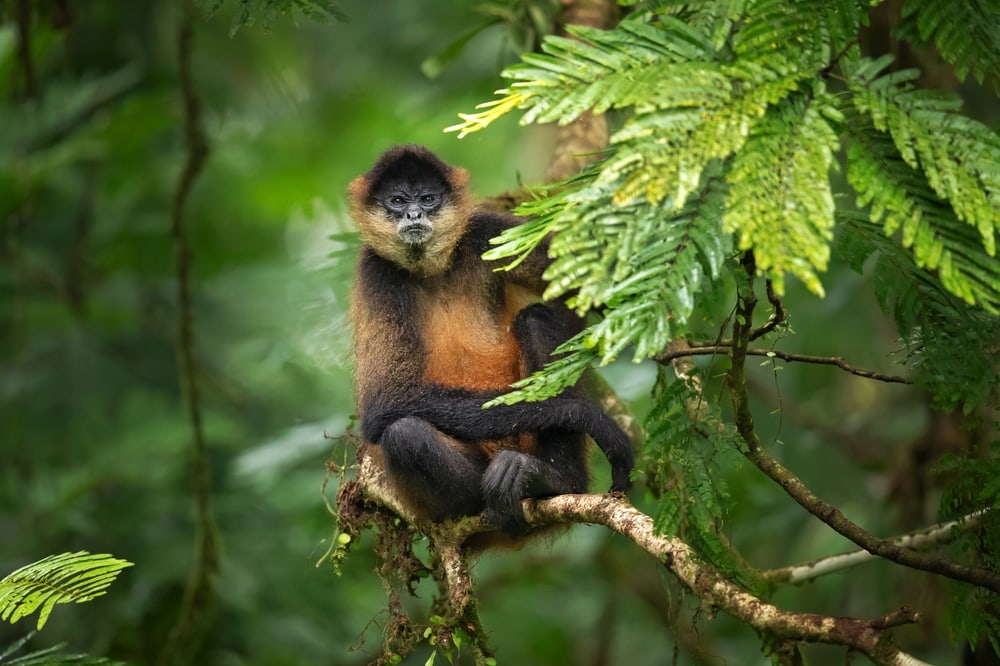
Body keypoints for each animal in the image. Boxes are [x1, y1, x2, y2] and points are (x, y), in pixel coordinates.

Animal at [347, 144, 633, 543]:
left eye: (428, 199)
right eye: (398, 201)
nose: (414, 214)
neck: (431, 271)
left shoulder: (484, 231)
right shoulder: (376, 271)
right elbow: (386, 405)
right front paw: (590, 415)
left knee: (535, 318)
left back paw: (554, 479)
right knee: (406, 435)